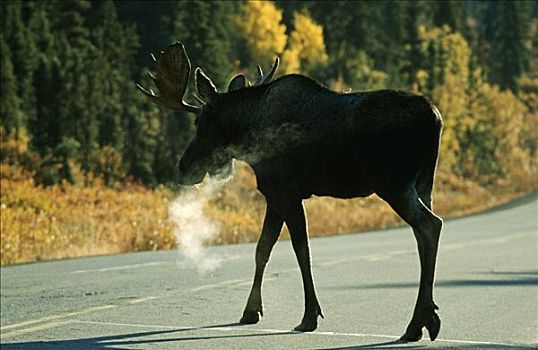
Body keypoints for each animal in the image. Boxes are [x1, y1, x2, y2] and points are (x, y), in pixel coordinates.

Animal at [138, 41, 444, 342]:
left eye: (199, 122)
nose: (184, 168)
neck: (250, 133)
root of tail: (435, 118)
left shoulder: (287, 192)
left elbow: (301, 251)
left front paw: (309, 316)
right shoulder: (274, 196)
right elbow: (262, 249)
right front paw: (251, 311)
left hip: (393, 183)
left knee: (430, 225)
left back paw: (416, 323)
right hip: (423, 183)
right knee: (425, 231)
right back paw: (425, 319)